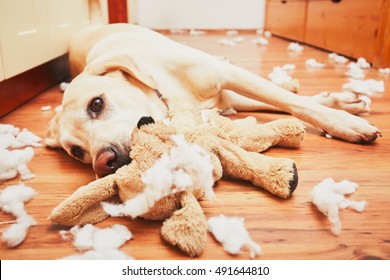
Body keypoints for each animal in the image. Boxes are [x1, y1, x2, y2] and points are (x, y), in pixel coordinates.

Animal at [43, 23, 380, 178]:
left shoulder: (227, 78)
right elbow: (282, 102)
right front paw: (343, 107)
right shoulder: (226, 95)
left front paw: (345, 124)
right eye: (77, 152)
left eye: (96, 104)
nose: (104, 162)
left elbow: (293, 102)